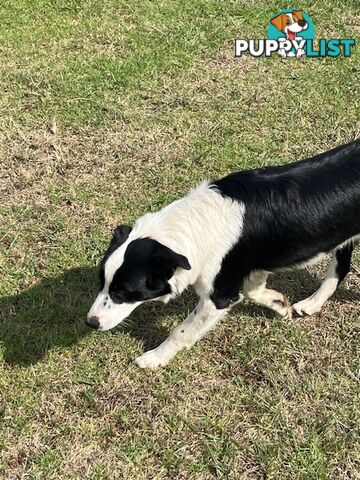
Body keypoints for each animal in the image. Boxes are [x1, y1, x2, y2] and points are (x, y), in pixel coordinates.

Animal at [87, 141, 360, 370]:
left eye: (123, 293)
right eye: (102, 284)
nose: (91, 322)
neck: (196, 224)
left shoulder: (218, 296)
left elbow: (181, 331)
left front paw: (155, 357)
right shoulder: (248, 268)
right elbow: (254, 291)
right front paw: (279, 304)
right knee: (341, 268)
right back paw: (312, 303)